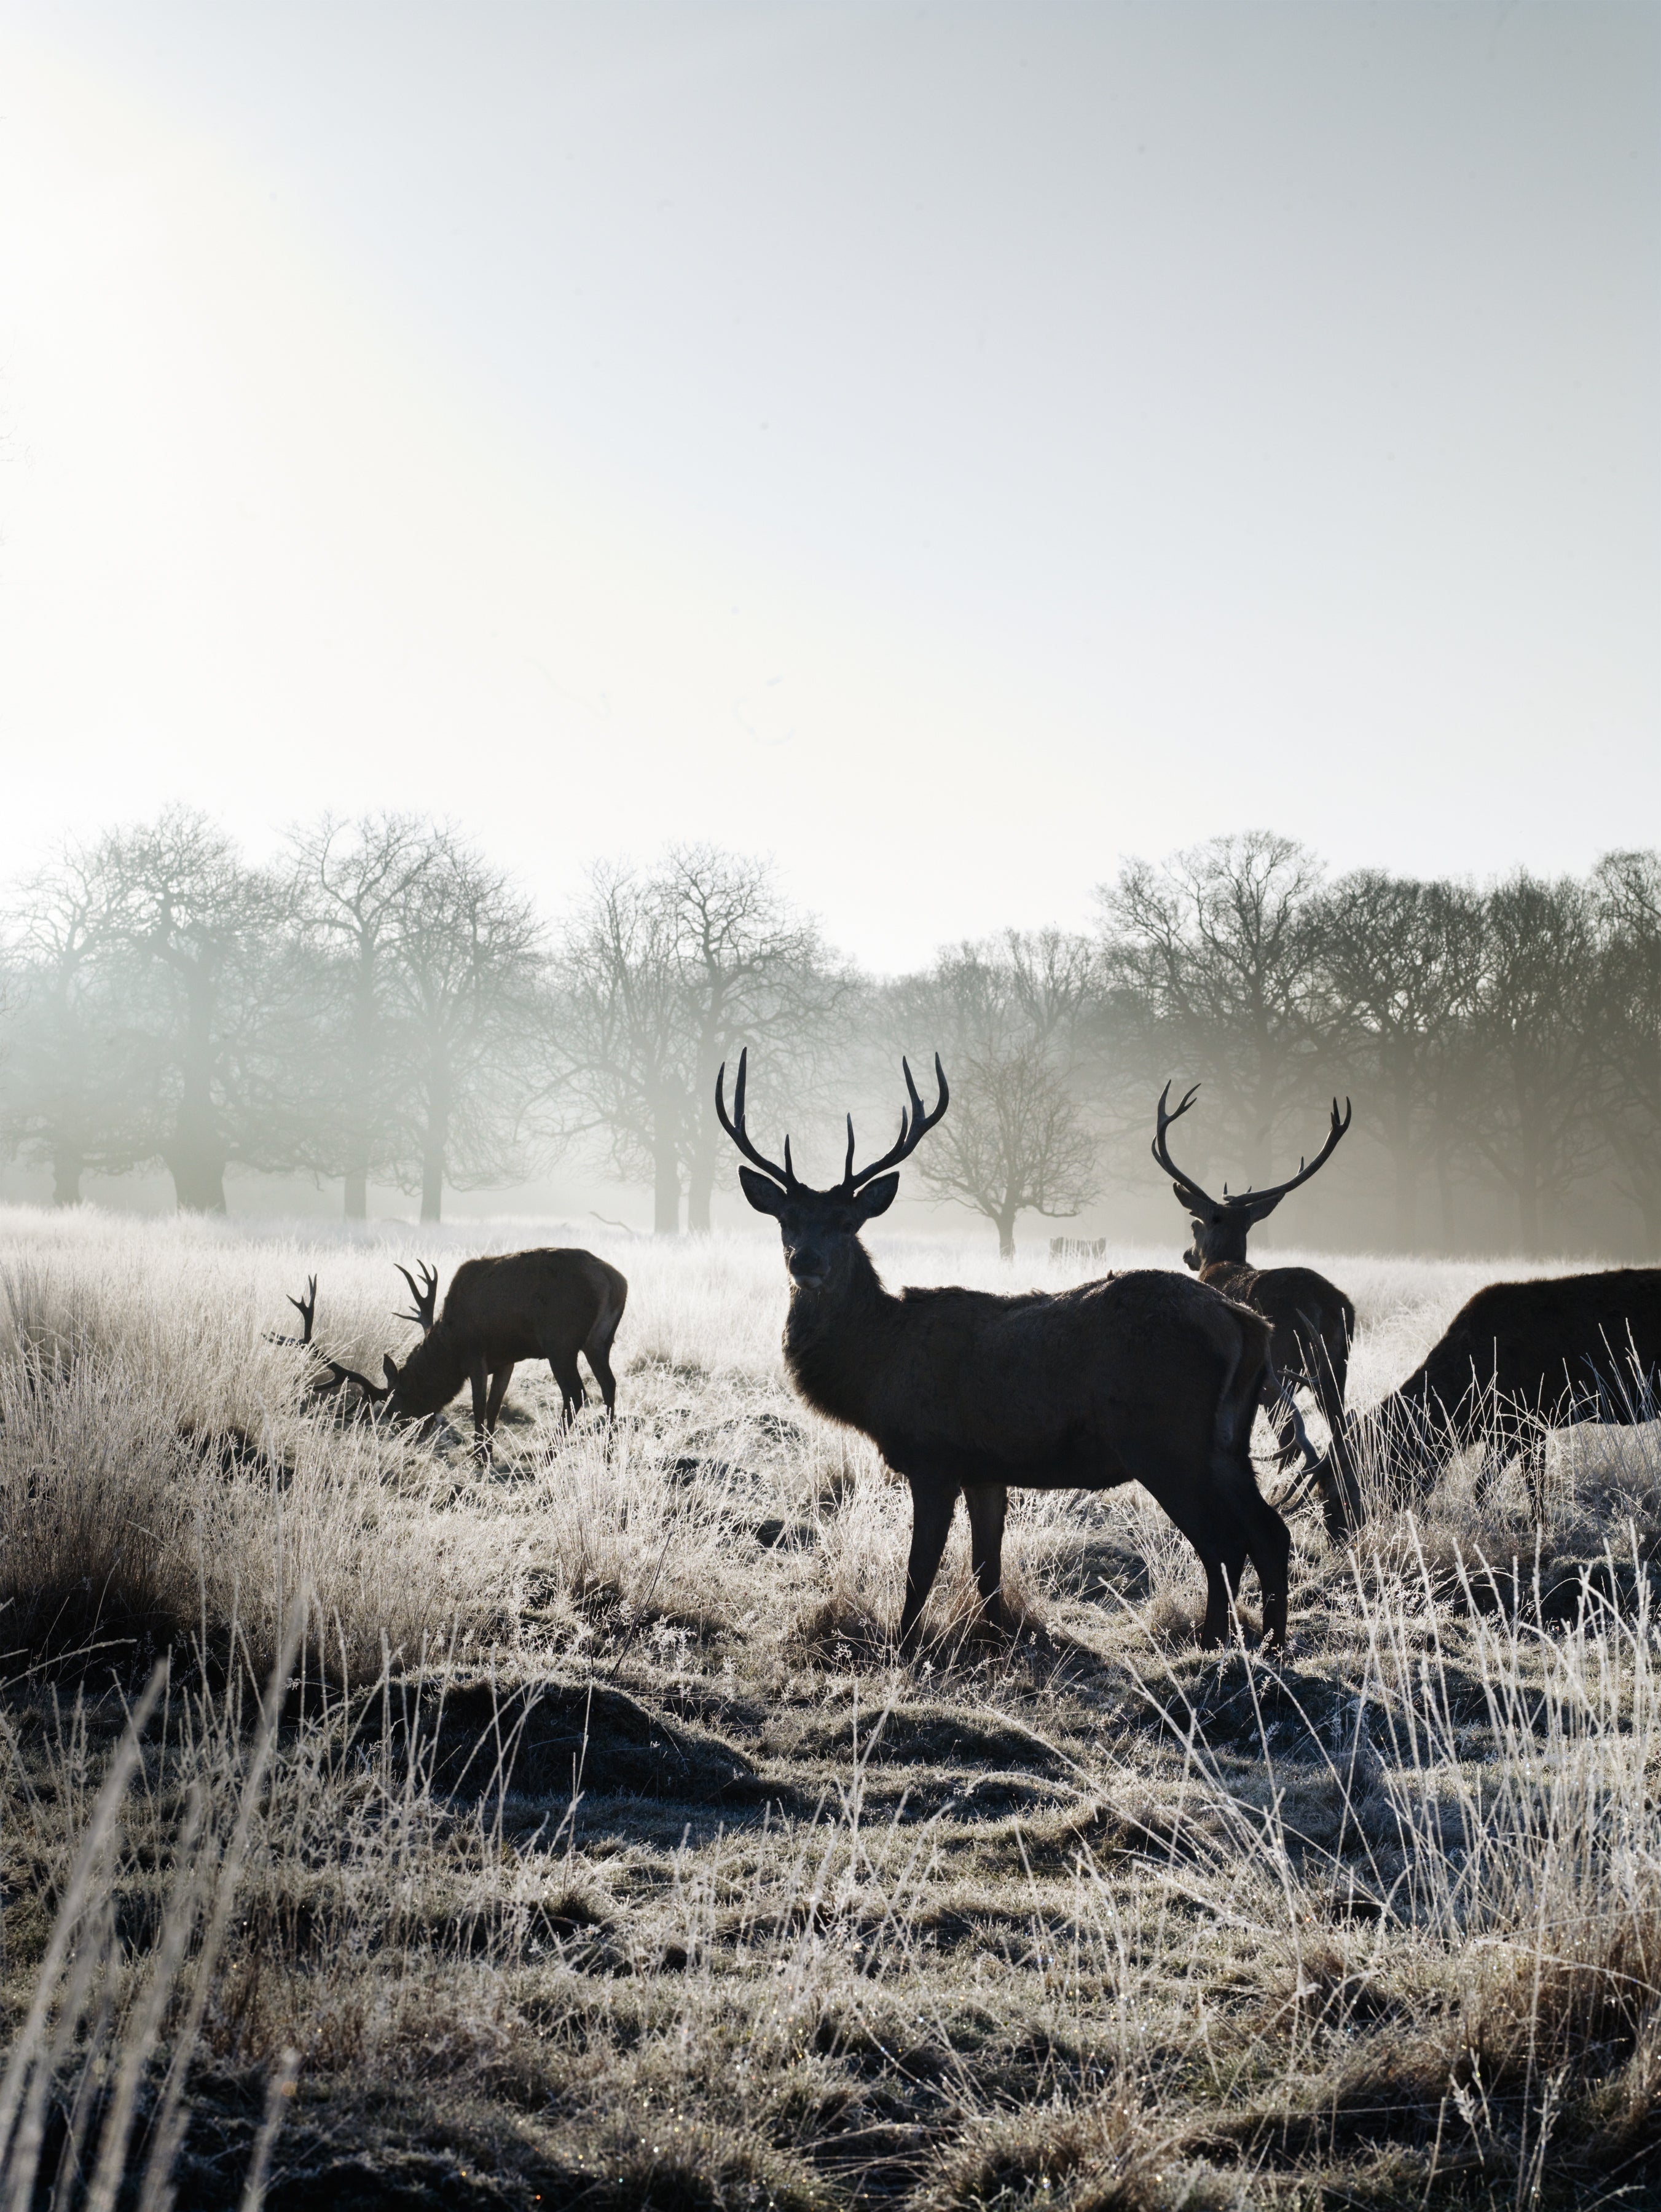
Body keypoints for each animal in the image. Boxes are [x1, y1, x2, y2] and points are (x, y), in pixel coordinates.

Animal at [324, 1248, 628, 1450]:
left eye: (394, 1408)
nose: (405, 1439)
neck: (450, 1346)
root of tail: (614, 1282)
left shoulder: (475, 1355)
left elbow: (478, 1407)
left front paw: (479, 1456)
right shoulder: (506, 1360)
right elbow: (494, 1407)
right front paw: (487, 1453)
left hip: (561, 1342)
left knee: (576, 1394)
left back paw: (549, 1456)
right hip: (599, 1342)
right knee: (609, 1385)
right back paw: (609, 1452)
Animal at [719, 1050, 1293, 1652]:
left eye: (848, 1222)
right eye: (786, 1219)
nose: (805, 1261)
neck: (878, 1369)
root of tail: (1244, 1322)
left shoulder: (932, 1455)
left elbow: (920, 1568)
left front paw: (904, 1648)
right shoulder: (984, 1469)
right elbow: (985, 1567)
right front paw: (996, 1642)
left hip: (1164, 1439)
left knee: (1222, 1541)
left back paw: (1212, 1645)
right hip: (1226, 1441)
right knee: (1269, 1531)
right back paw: (1272, 1645)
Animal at [1152, 1084, 1355, 1496]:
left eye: (1195, 1224)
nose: (1187, 1255)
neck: (1221, 1267)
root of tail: (1321, 1304)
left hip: (1277, 1369)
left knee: (1291, 1440)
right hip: (1337, 1363)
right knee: (1339, 1431)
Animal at [1310, 1269, 1661, 1530]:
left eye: (1342, 1491)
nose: (1336, 1539)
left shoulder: (1531, 1420)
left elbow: (1533, 1490)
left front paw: (1541, 1531)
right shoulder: (1504, 1430)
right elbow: (1482, 1488)